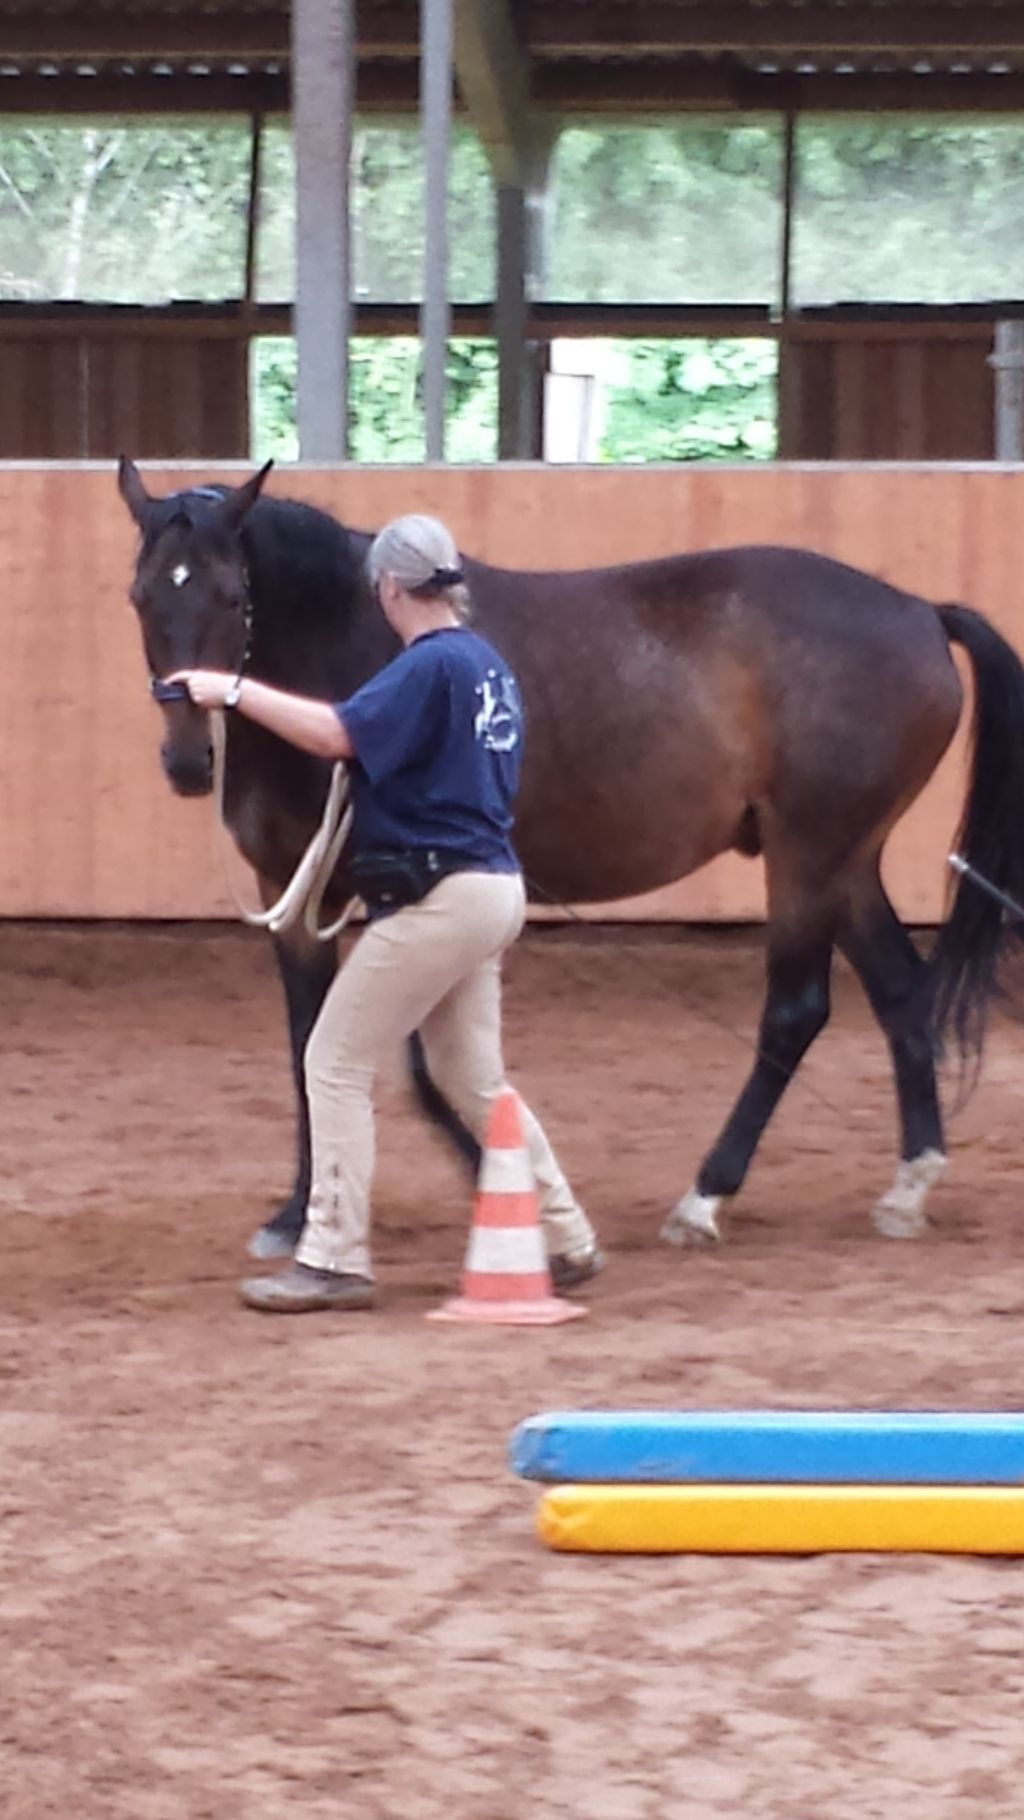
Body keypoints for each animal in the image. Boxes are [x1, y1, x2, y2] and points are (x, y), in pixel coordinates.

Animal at [117, 456, 1024, 1257]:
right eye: (140, 595)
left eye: (232, 594)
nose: (188, 759)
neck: (346, 647)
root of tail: (919, 611)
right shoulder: (299, 895)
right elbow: (312, 1043)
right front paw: (299, 1211)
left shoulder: (397, 887)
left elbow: (403, 1061)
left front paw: (488, 1177)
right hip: (848, 861)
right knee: (901, 992)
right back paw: (909, 1184)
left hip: (808, 857)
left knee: (796, 1012)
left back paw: (705, 1199)